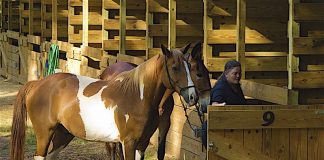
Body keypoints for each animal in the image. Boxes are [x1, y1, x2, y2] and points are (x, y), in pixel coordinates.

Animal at [10, 44, 197, 160]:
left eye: (189, 67)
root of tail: (36, 84)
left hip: (63, 134)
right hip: (44, 134)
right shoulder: (128, 143)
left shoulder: (141, 144)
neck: (138, 96)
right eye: (175, 68)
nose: (192, 96)